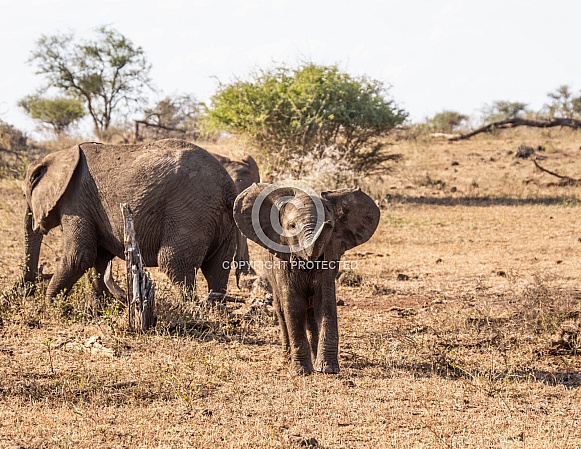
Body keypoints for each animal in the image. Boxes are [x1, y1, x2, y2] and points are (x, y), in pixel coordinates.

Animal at [22, 136, 236, 304]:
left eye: (25, 195)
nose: (27, 291)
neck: (59, 155)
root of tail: (228, 189)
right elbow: (100, 258)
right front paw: (99, 307)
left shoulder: (76, 201)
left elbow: (80, 255)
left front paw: (52, 306)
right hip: (221, 221)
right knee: (217, 268)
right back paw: (213, 309)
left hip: (190, 212)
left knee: (174, 263)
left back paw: (189, 312)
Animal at [233, 182, 378, 374]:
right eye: (292, 226)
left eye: (331, 226)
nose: (327, 222)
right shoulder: (282, 260)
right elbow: (293, 304)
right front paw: (301, 371)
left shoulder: (329, 257)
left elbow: (325, 302)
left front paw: (327, 369)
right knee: (281, 308)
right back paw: (287, 358)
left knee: (311, 312)